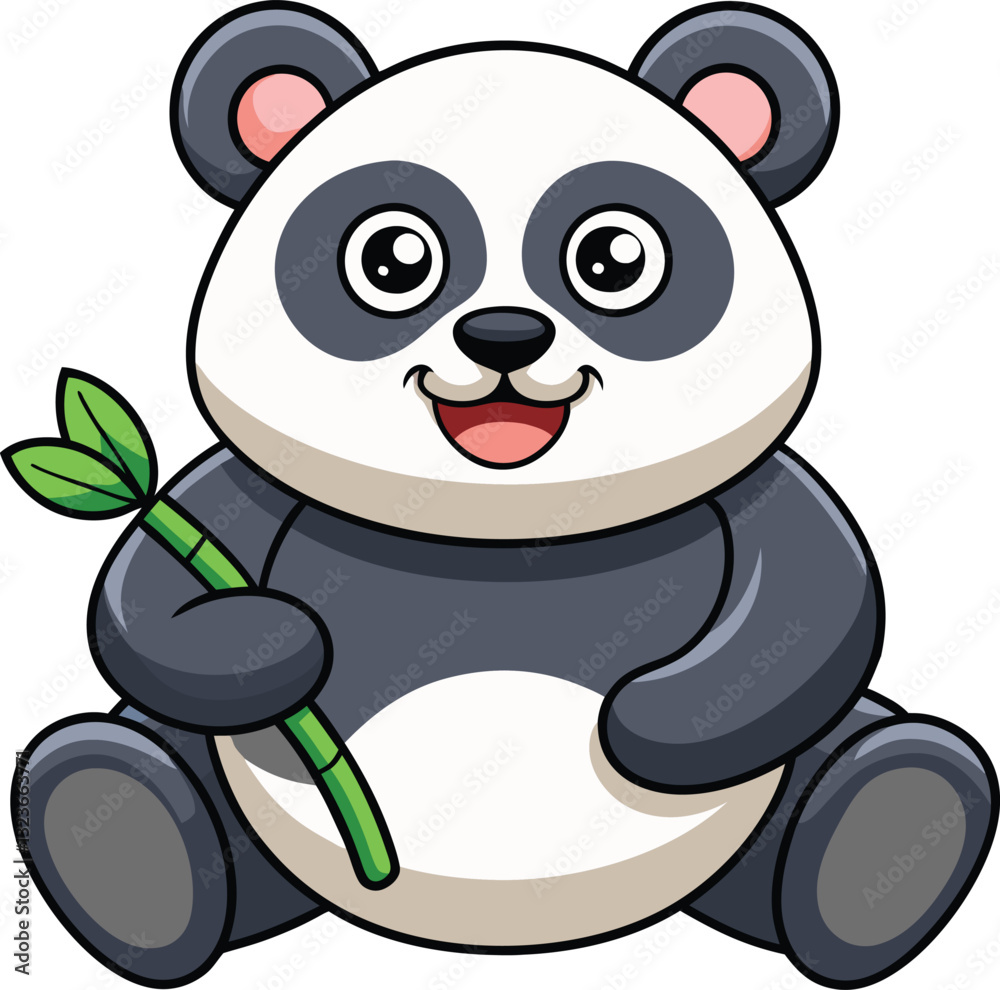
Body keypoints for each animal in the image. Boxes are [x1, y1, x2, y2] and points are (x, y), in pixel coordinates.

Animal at [15, 3, 997, 987]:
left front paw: (652, 719)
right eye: (393, 258)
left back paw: (887, 811)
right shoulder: (242, 493)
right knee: (170, 766)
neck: (503, 528)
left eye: (614, 258)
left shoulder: (755, 496)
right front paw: (275, 639)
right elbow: (145, 603)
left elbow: (816, 603)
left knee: (842, 759)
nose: (503, 335)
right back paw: (116, 816)